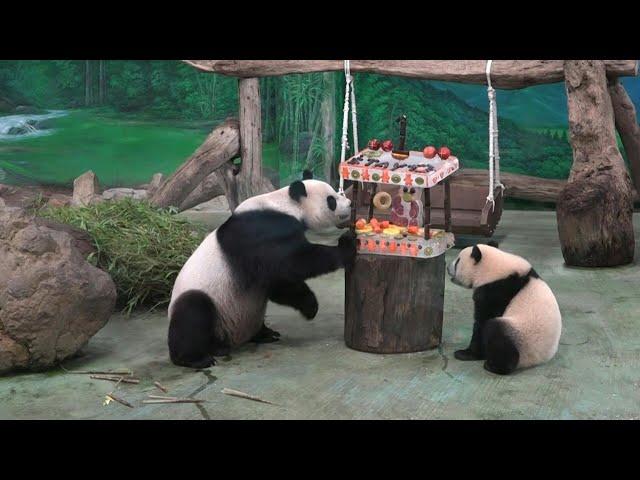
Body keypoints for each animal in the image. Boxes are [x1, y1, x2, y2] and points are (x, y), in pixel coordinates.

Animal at [168, 171, 356, 370]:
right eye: (331, 200)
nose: (350, 203)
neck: (284, 205)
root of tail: (233, 339)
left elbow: (278, 283)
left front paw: (310, 306)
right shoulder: (261, 231)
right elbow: (291, 263)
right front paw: (346, 247)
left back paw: (265, 334)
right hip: (210, 300)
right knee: (192, 313)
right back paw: (196, 358)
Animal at [448, 244, 564, 376]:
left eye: (458, 261)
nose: (447, 268)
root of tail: (539, 360)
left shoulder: (496, 291)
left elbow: (482, 321)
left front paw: (465, 354)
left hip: (524, 337)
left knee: (496, 331)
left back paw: (494, 366)